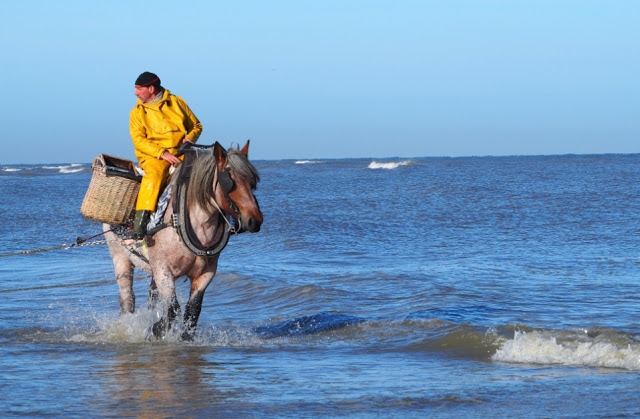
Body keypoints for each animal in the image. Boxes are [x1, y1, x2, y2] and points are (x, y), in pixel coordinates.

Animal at [104, 141, 262, 342]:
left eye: (252, 181)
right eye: (229, 181)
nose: (254, 220)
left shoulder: (206, 273)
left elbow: (192, 311)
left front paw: (184, 337)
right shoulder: (164, 271)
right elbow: (172, 310)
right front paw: (154, 332)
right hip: (120, 259)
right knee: (127, 300)